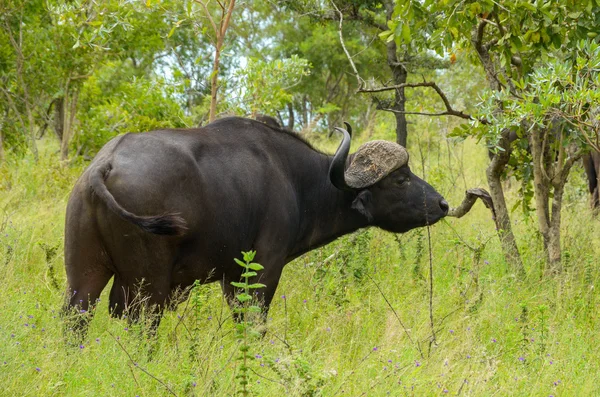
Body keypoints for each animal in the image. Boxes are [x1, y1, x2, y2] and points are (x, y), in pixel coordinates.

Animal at [64, 115, 450, 332]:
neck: (296, 179)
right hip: (149, 286)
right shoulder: (263, 270)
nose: (443, 204)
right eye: (401, 178)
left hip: (84, 276)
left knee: (75, 321)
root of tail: (105, 164)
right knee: (143, 327)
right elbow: (254, 323)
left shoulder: (230, 276)